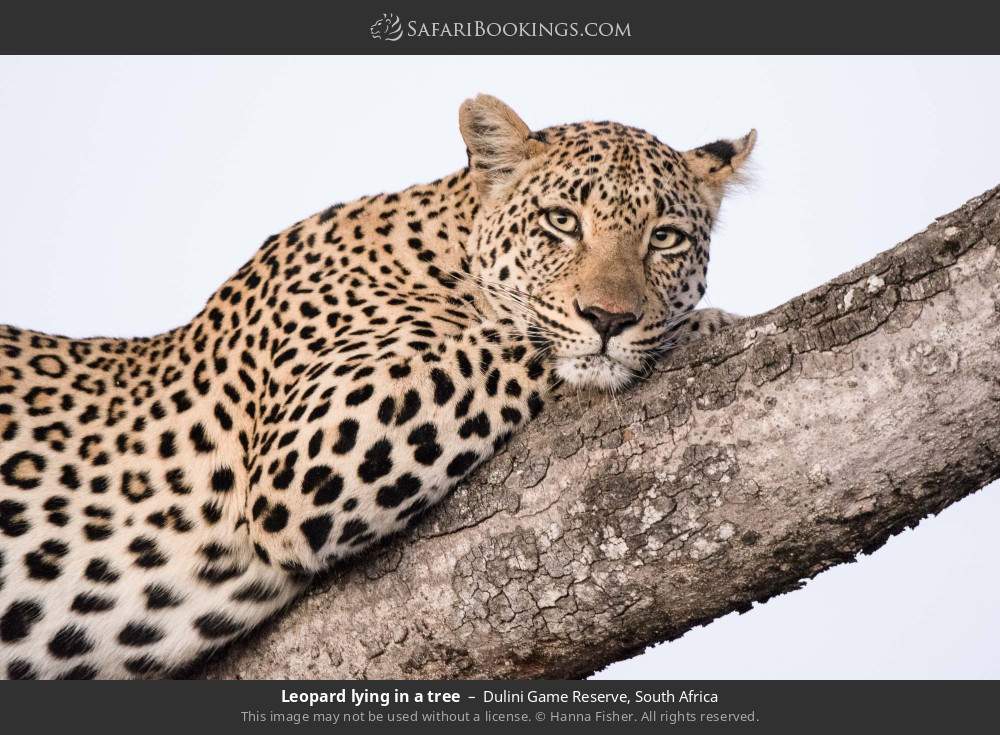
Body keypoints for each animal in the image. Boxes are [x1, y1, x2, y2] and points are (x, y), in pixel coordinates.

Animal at [0, 95, 754, 679]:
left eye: (665, 237)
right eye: (562, 221)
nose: (610, 318)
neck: (444, 252)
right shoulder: (307, 447)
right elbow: (511, 340)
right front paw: (702, 324)